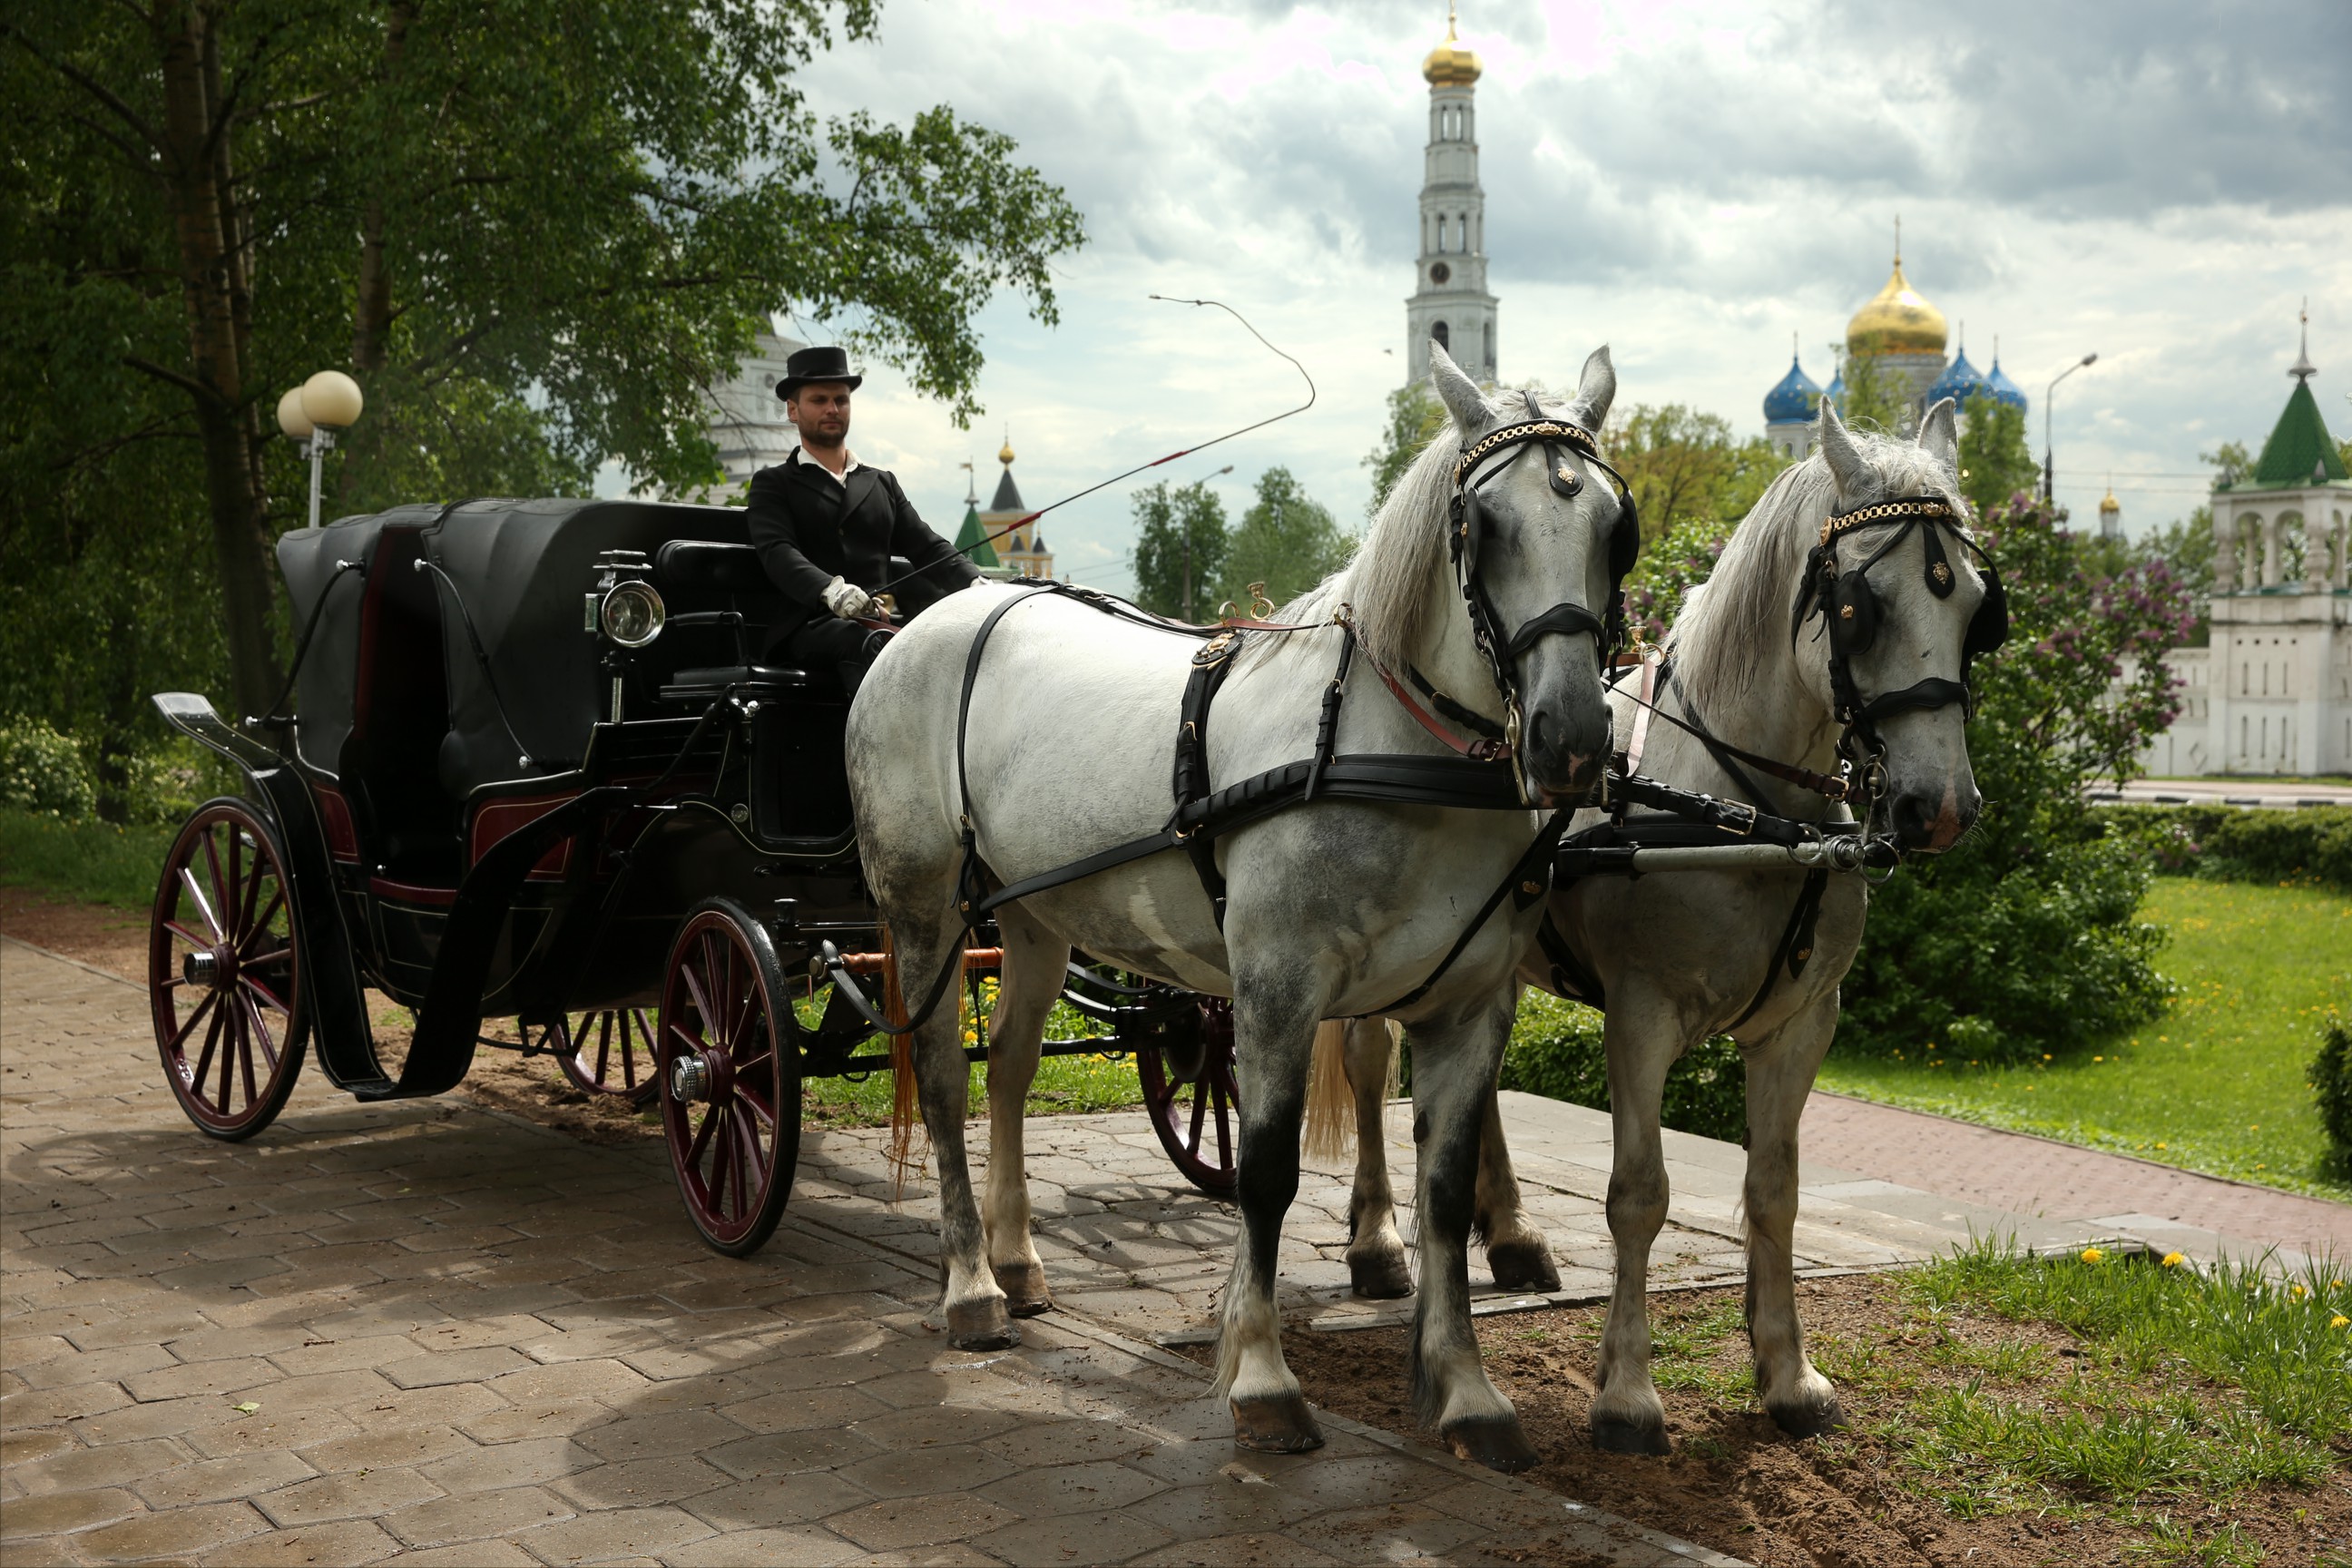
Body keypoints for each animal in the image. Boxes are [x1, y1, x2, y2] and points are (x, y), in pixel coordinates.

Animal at [851, 343, 1637, 1475]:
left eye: (1616, 527)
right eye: (1482, 526)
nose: (1572, 738)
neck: (1392, 747)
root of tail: (938, 617)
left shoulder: (1470, 1005)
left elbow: (1446, 1195)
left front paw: (1467, 1392)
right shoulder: (1276, 991)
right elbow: (1264, 1175)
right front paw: (1263, 1380)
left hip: (1035, 916)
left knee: (1009, 1071)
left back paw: (1018, 1257)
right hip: (926, 911)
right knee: (951, 1081)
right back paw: (969, 1286)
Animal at [1317, 399, 1994, 1457]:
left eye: (1974, 605)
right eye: (1860, 607)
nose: (1942, 806)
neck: (1748, 811)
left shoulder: (1803, 1027)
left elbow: (1774, 1190)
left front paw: (1786, 1374)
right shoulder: (1641, 1019)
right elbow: (1638, 1194)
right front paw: (1628, 1396)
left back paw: (1510, 1232)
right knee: (1367, 1059)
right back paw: (1380, 1240)